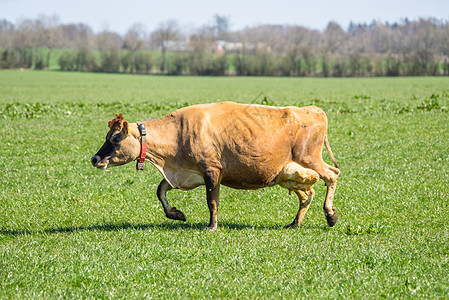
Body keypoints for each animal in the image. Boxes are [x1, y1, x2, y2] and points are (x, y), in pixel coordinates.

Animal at [89, 102, 338, 231]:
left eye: (115, 139)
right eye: (107, 136)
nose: (95, 159)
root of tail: (313, 109)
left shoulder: (212, 170)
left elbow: (212, 201)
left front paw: (212, 226)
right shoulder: (186, 173)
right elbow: (160, 190)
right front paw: (176, 214)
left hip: (310, 158)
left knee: (332, 175)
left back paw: (330, 215)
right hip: (288, 174)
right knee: (307, 194)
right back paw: (295, 223)